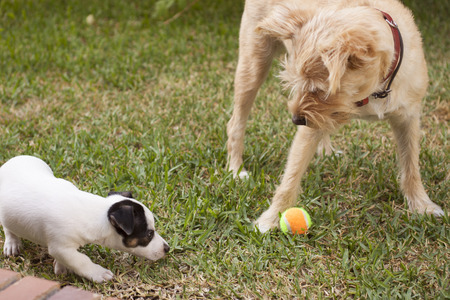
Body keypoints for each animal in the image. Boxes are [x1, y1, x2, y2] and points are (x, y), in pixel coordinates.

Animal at [0, 156, 171, 282]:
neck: (98, 213)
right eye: (149, 234)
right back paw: (12, 243)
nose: (167, 248)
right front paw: (98, 273)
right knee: (8, 228)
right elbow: (80, 260)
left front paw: (61, 266)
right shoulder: (61, 246)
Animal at [227, 0, 444, 232]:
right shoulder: (310, 126)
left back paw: (325, 151)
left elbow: (411, 166)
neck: (373, 90)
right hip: (252, 67)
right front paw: (271, 218)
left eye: (319, 90)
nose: (295, 120)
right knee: (235, 124)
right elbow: (291, 176)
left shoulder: (408, 119)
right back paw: (235, 169)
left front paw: (422, 205)